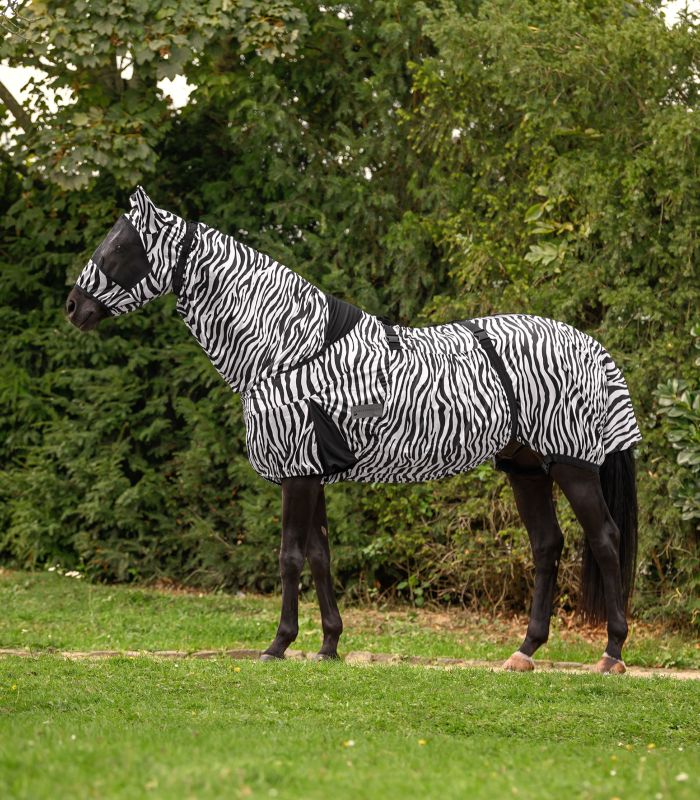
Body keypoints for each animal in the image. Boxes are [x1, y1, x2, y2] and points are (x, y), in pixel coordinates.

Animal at [66, 187, 642, 674]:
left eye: (121, 245)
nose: (74, 307)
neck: (287, 350)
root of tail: (591, 346)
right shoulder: (310, 472)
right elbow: (320, 558)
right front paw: (328, 645)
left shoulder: (297, 474)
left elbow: (289, 557)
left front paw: (278, 644)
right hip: (525, 468)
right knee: (547, 545)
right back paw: (525, 651)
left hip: (572, 466)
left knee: (605, 540)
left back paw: (612, 653)